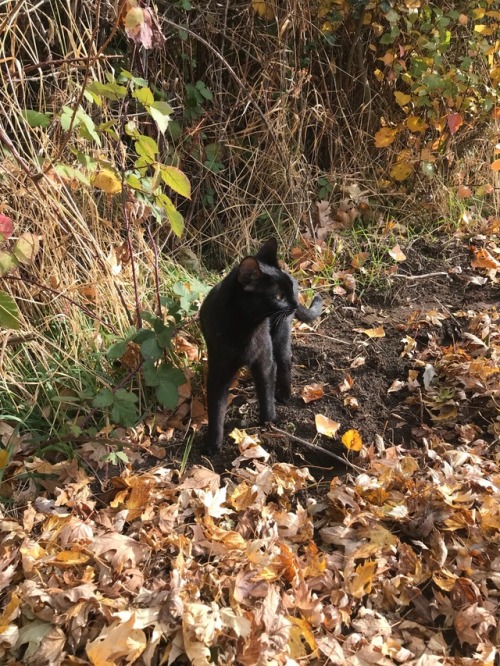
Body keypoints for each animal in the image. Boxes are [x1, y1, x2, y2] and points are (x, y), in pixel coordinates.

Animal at [200, 237, 322, 452]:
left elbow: (265, 391)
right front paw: (213, 445)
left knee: (285, 361)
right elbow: (216, 408)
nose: (295, 303)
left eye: (290, 289)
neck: (245, 328)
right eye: (278, 297)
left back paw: (284, 394)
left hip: (281, 334)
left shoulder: (264, 360)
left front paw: (268, 422)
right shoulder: (219, 370)